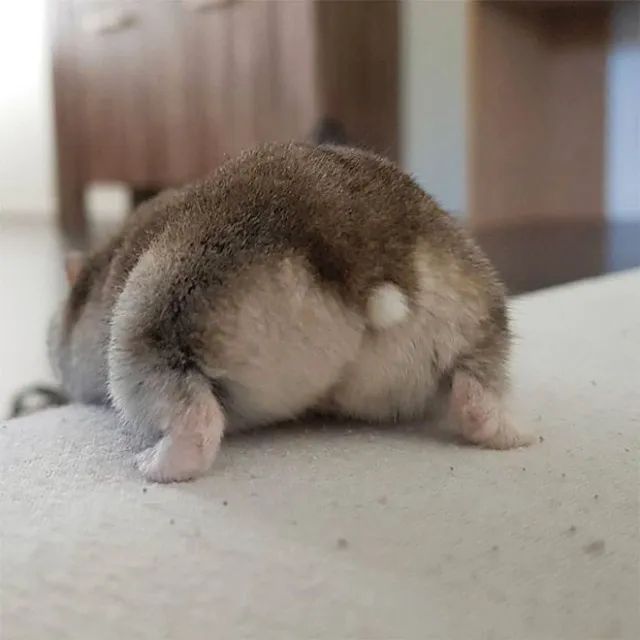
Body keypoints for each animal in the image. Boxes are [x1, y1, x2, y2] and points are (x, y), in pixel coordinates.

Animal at [48, 143, 533, 482]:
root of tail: (367, 259)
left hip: (153, 326)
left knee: (196, 421)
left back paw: (151, 464)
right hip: (477, 321)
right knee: (476, 395)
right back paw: (519, 436)